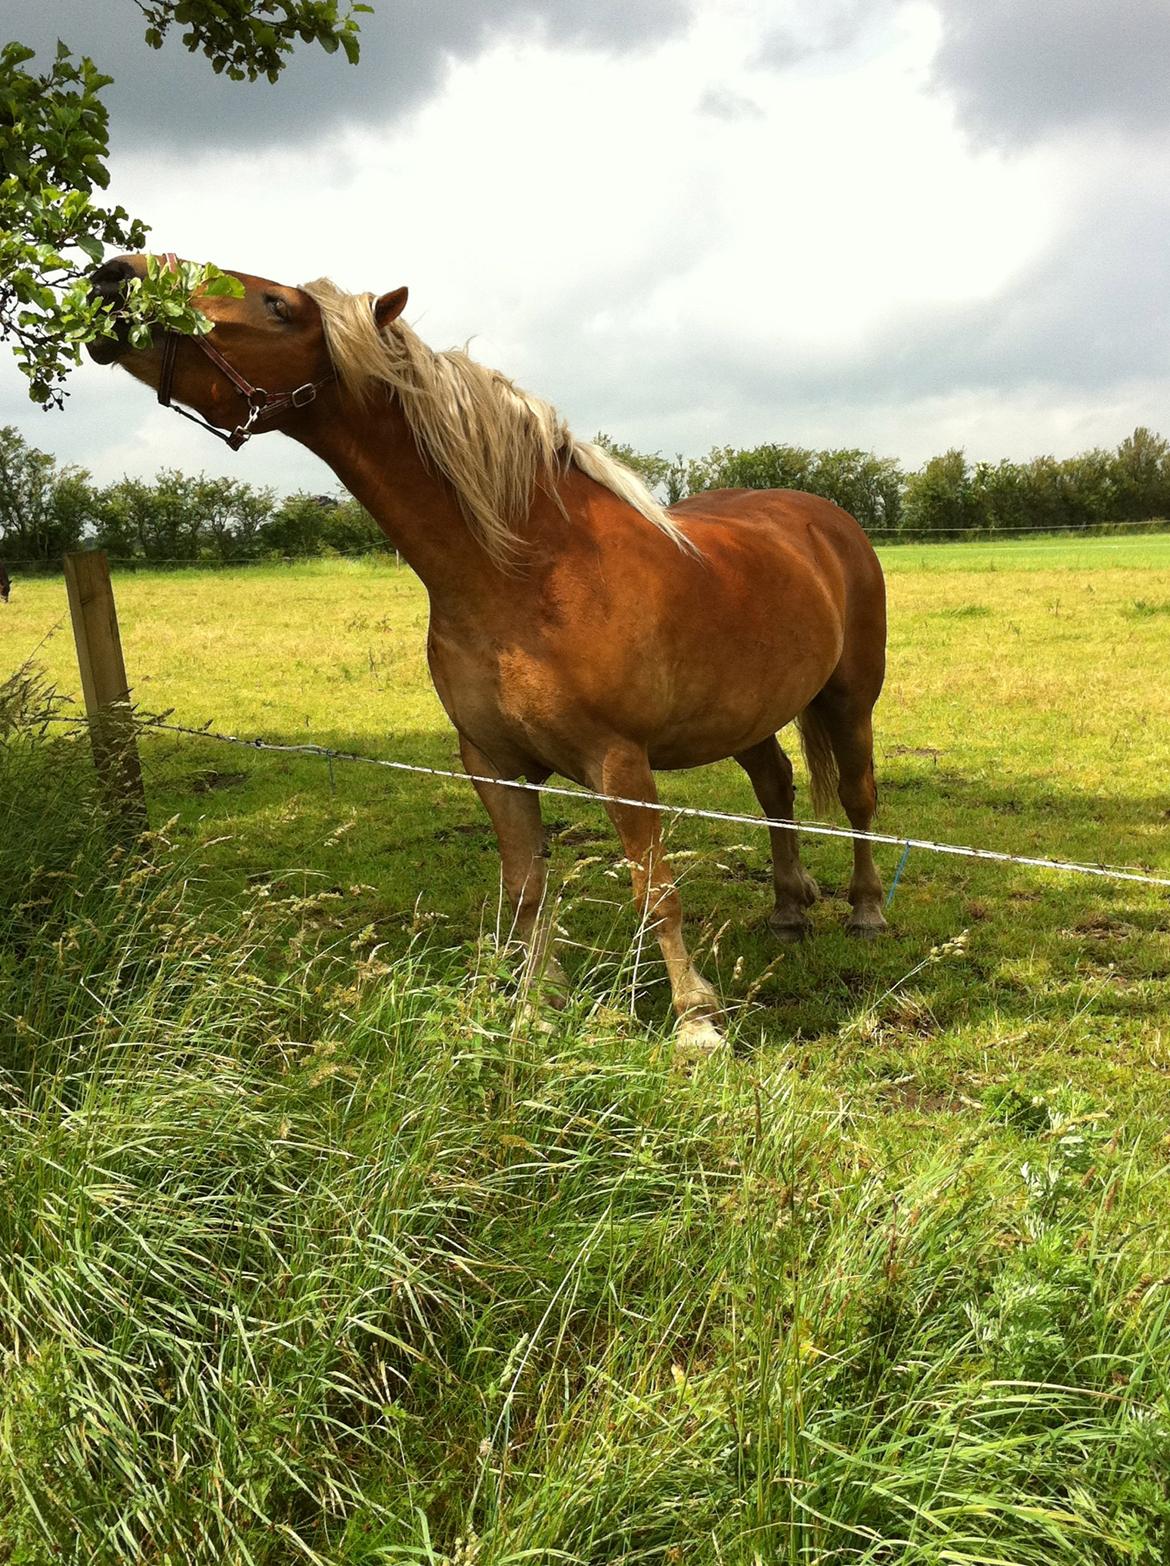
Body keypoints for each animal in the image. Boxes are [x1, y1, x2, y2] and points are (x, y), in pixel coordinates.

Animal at [89, 256, 889, 1052]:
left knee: (857, 799)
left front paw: (696, 1020)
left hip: (850, 701)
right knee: (777, 790)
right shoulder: (493, 764)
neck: (526, 570)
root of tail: (825, 516)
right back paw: (787, 910)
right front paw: (535, 1006)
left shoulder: (621, 765)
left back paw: (866, 910)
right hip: (746, 715)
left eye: (278, 307)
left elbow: (654, 890)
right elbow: (526, 889)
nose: (112, 279)